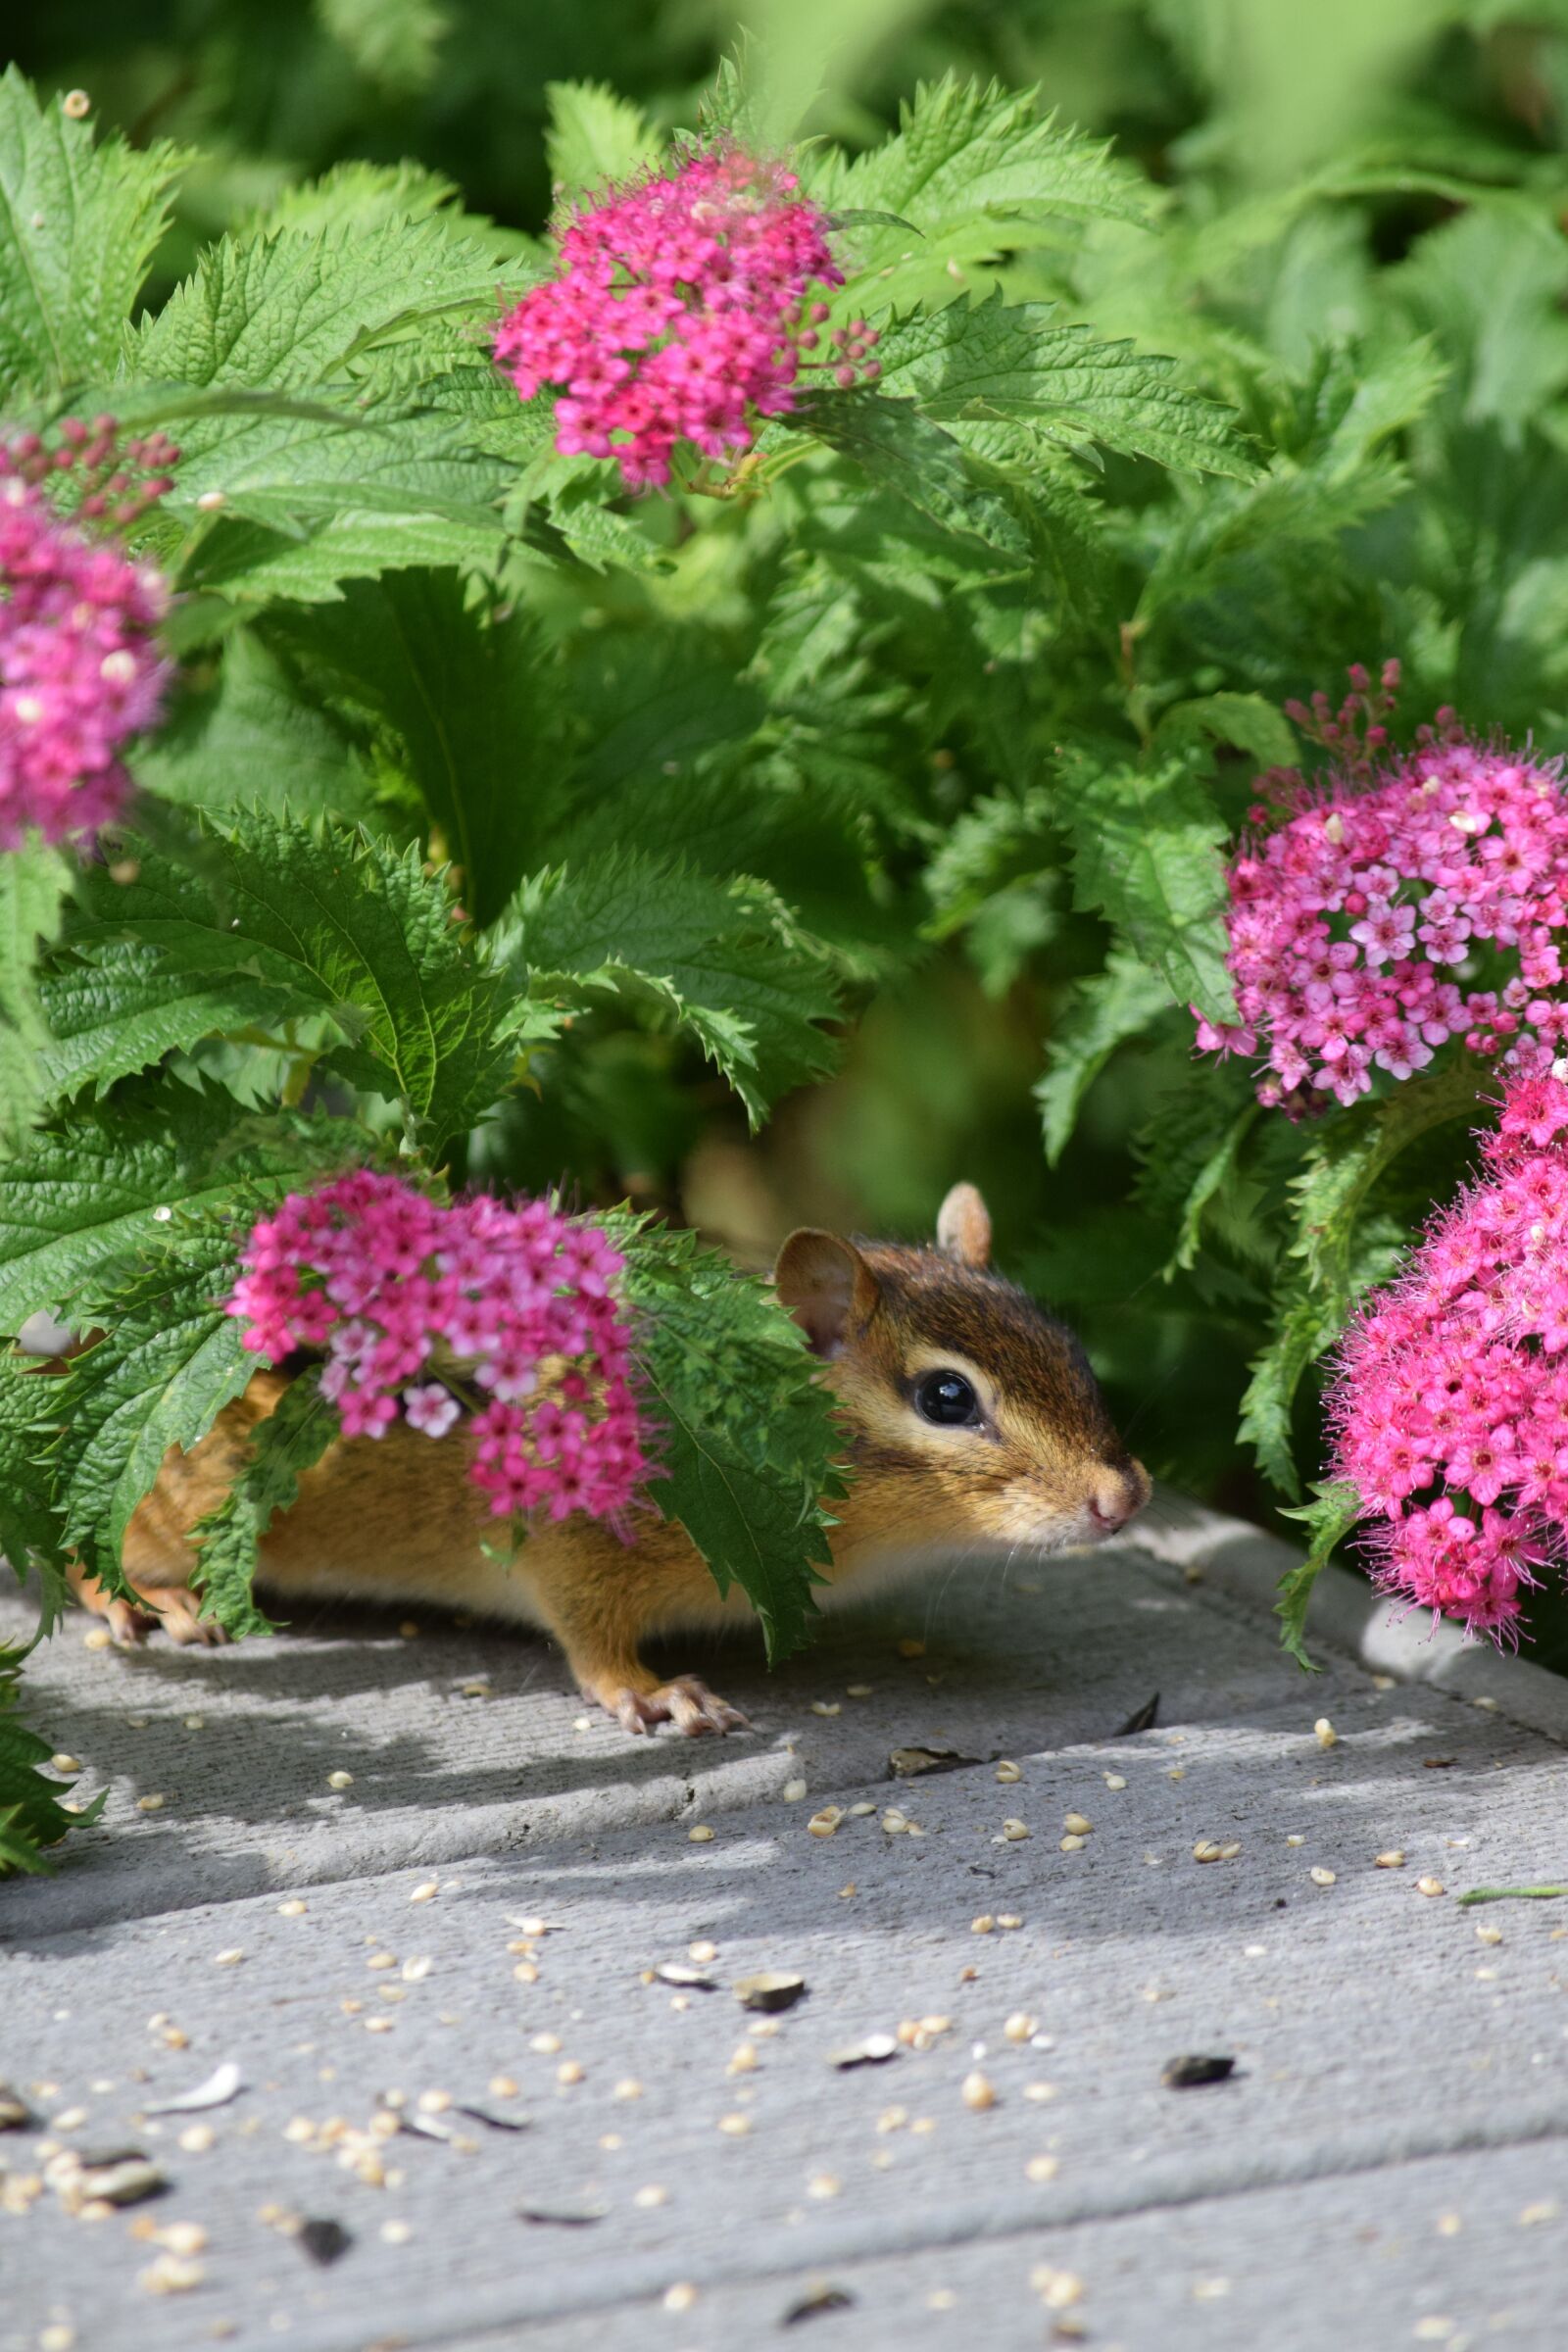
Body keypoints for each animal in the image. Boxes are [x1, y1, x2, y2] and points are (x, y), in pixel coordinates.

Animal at [65, 1182, 1150, 1736]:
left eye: (1065, 1341)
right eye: (946, 1398)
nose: (1123, 1494)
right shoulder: (570, 1543)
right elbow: (589, 1638)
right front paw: (651, 1691)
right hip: (158, 1503)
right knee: (75, 1548)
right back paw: (149, 1601)